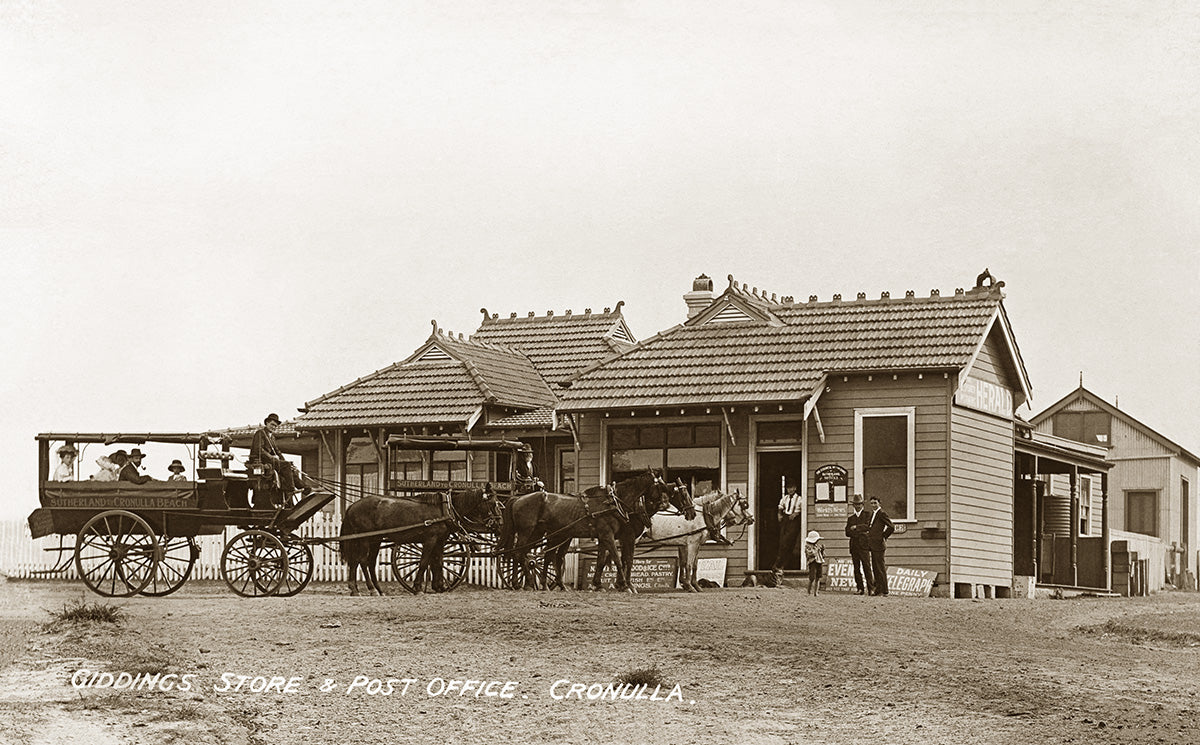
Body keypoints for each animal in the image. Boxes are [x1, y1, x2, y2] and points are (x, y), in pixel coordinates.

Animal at [340, 484, 499, 595]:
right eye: (493, 503)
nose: (499, 523)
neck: (444, 508)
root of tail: (352, 506)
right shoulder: (430, 540)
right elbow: (424, 562)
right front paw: (418, 587)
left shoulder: (440, 541)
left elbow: (438, 562)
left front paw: (439, 586)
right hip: (365, 539)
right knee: (363, 561)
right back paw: (371, 589)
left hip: (374, 540)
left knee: (362, 562)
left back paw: (363, 589)